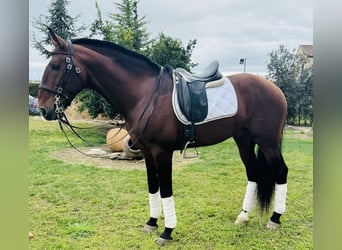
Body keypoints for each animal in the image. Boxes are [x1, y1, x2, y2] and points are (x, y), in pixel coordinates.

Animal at [38, 28, 288, 245]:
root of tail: (276, 89)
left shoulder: (162, 152)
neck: (145, 93)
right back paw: (244, 216)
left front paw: (167, 231)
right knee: (253, 173)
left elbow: (166, 189)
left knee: (281, 172)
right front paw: (151, 222)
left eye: (56, 65)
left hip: (268, 142)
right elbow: (153, 186)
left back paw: (275, 219)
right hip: (243, 140)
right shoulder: (147, 152)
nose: (42, 109)